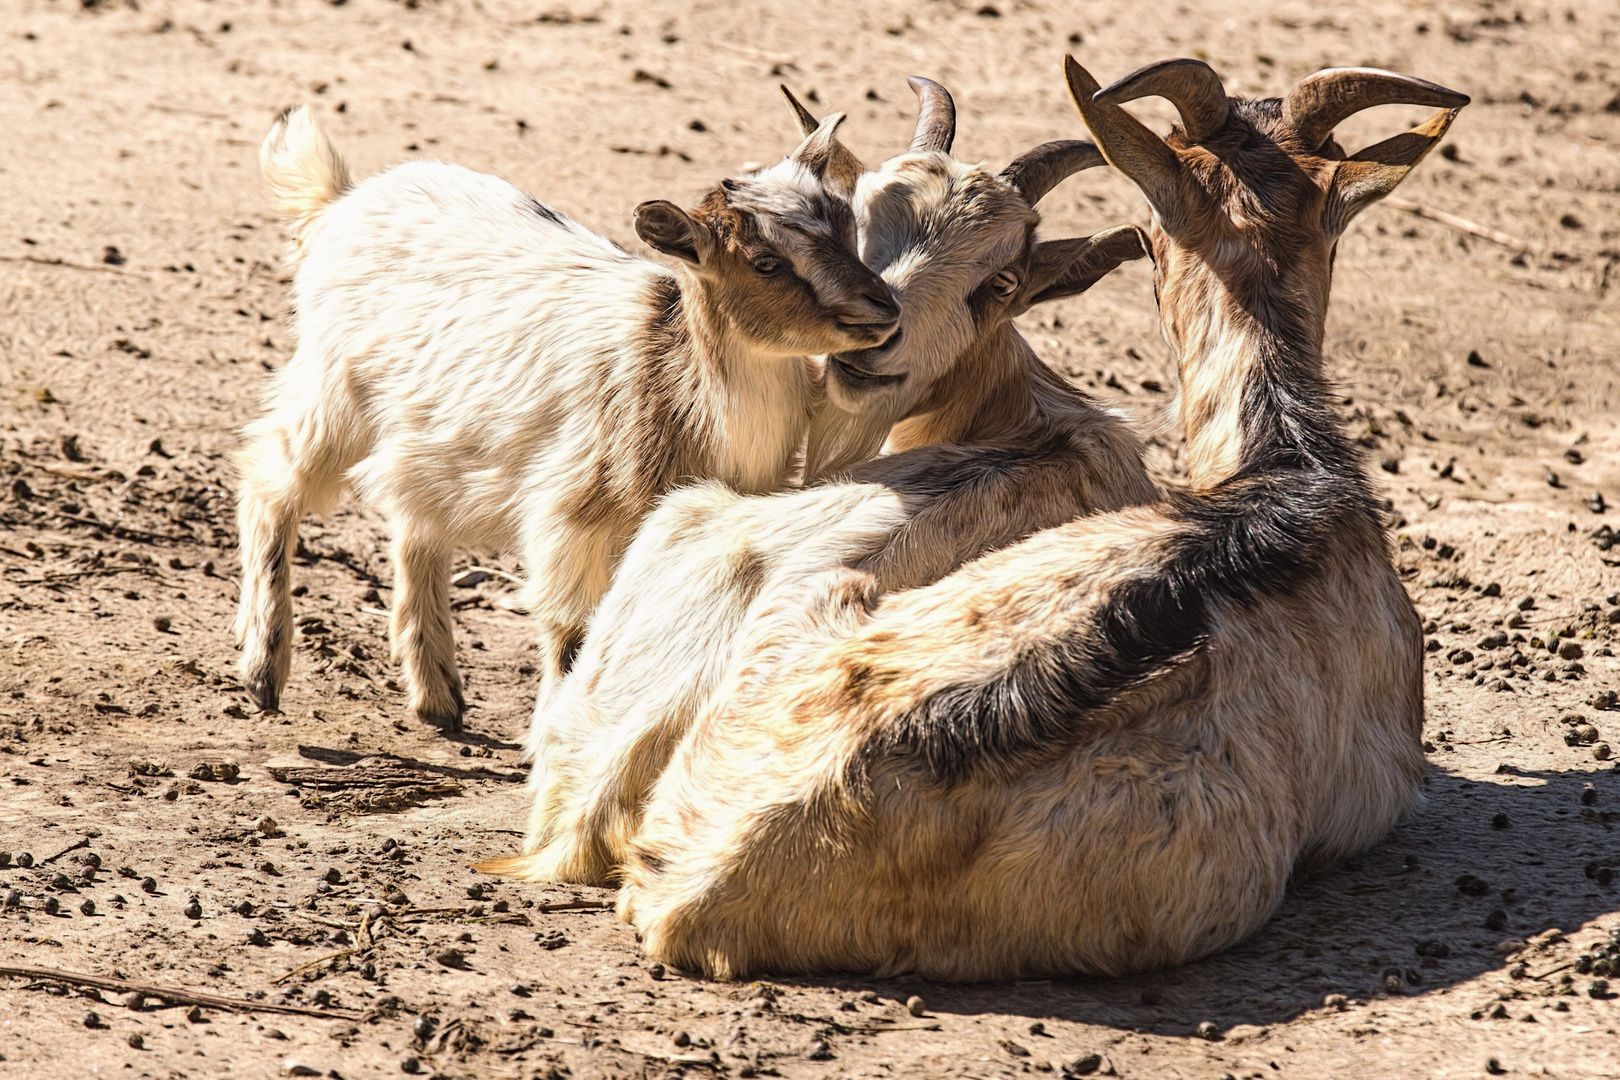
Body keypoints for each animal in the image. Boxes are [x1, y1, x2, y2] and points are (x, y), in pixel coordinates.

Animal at [231, 105, 900, 731]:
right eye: (764, 262)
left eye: (848, 227)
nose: (884, 306)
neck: (675, 389)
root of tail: (341, 201)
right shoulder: (572, 521)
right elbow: (574, 636)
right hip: (333, 392)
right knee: (270, 479)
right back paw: (264, 669)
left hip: (430, 434)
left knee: (416, 525)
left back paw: (438, 696)